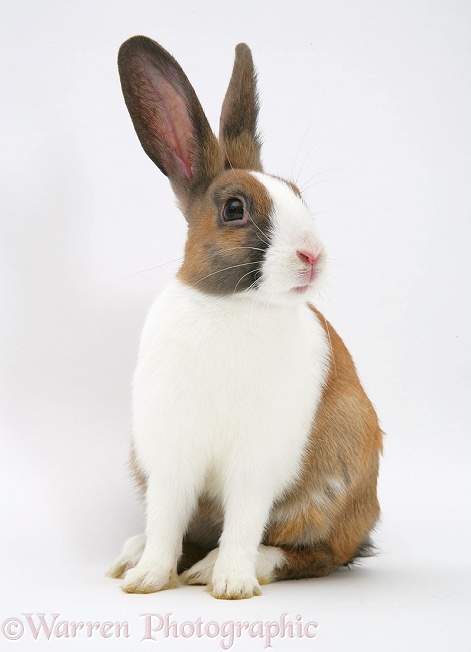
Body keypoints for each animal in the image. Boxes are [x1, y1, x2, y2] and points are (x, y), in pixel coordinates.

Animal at [108, 33, 384, 600]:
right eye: (234, 209)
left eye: (298, 195)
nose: (312, 256)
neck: (233, 307)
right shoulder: (170, 456)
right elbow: (166, 519)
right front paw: (148, 580)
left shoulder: (257, 462)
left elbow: (243, 521)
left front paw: (231, 586)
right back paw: (134, 556)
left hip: (332, 490)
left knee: (315, 554)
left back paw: (220, 568)